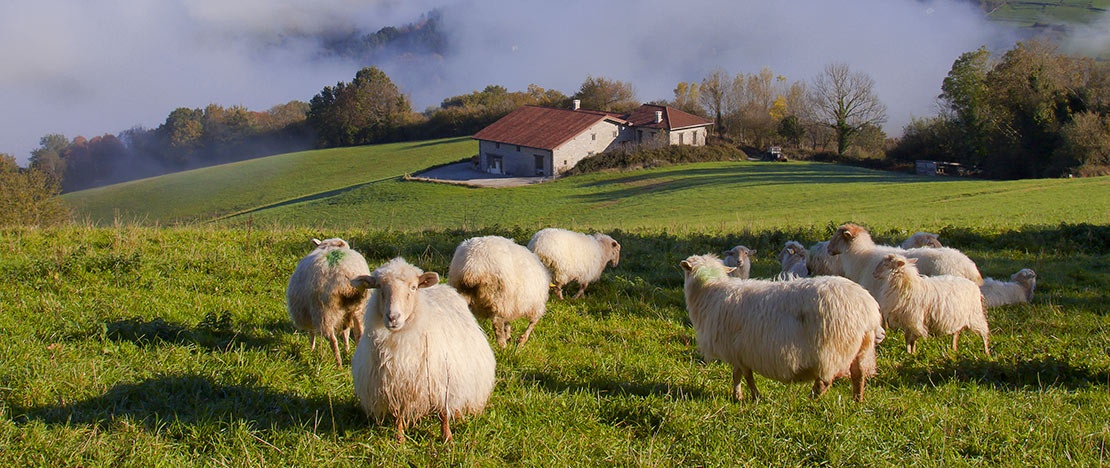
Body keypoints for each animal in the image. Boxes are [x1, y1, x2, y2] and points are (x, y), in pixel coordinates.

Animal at [284, 237, 370, 365]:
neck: (329, 246)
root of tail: (346, 278)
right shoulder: (345, 316)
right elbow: (346, 333)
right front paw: (347, 350)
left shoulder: (308, 314)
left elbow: (312, 333)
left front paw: (311, 349)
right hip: (359, 308)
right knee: (359, 333)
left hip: (324, 312)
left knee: (332, 339)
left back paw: (338, 364)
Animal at [350, 256, 495, 441]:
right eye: (379, 287)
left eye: (413, 287)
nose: (393, 317)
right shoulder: (395, 385)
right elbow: (398, 413)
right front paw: (400, 437)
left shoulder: (442, 382)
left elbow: (443, 413)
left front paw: (447, 438)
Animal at [674, 253, 883, 401]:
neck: (710, 291)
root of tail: (867, 308)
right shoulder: (741, 351)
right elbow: (740, 374)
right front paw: (742, 396)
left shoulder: (737, 350)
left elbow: (742, 375)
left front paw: (747, 396)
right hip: (861, 347)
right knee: (858, 374)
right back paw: (857, 401)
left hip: (832, 348)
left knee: (825, 381)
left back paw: (808, 400)